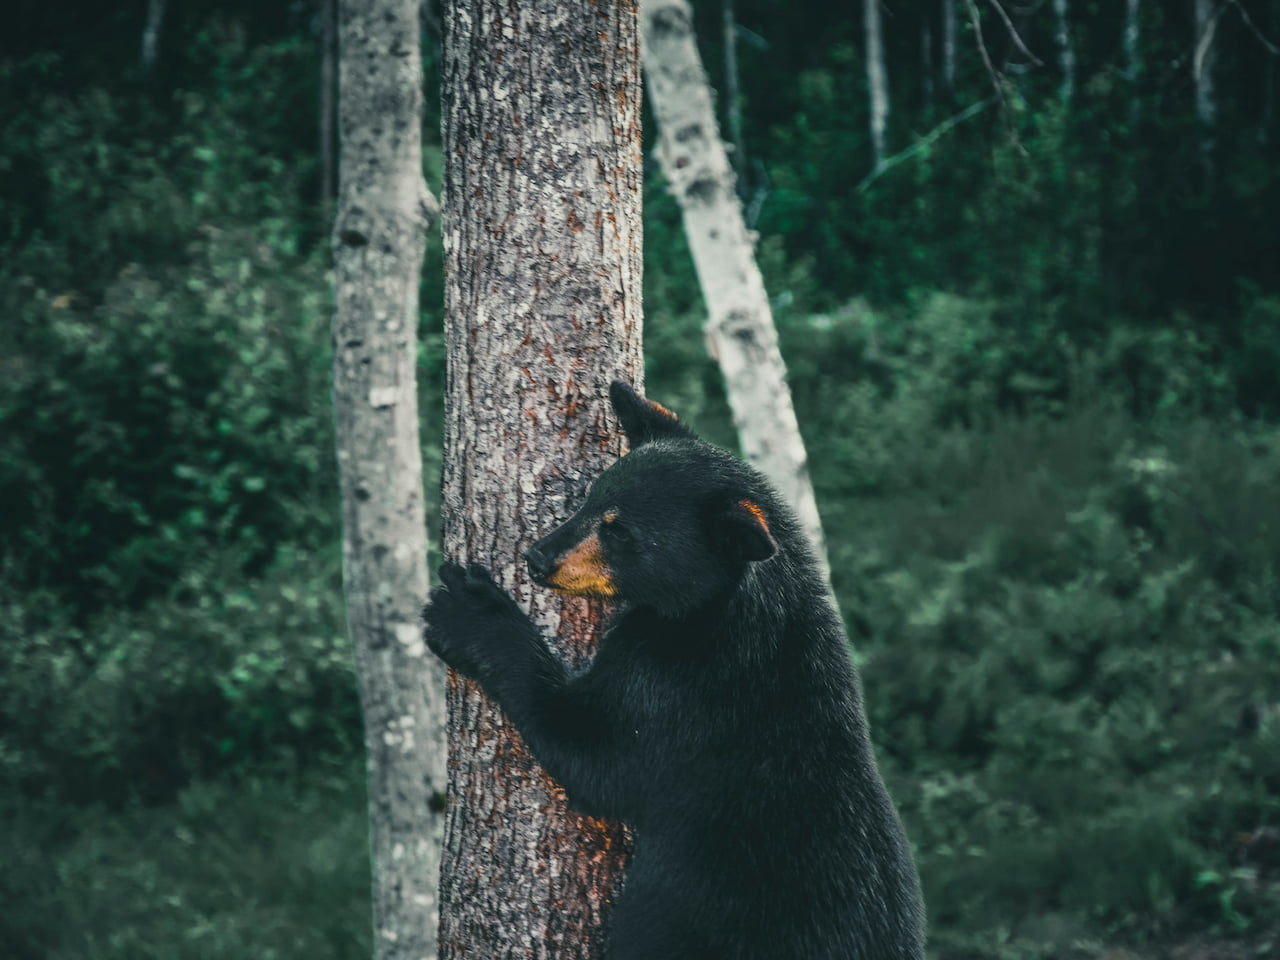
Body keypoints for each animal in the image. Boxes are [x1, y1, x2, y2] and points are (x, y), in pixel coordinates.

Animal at [423, 381, 925, 960]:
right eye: (589, 498)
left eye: (621, 534)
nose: (537, 558)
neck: (721, 608)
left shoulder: (681, 691)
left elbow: (595, 754)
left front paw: (468, 612)